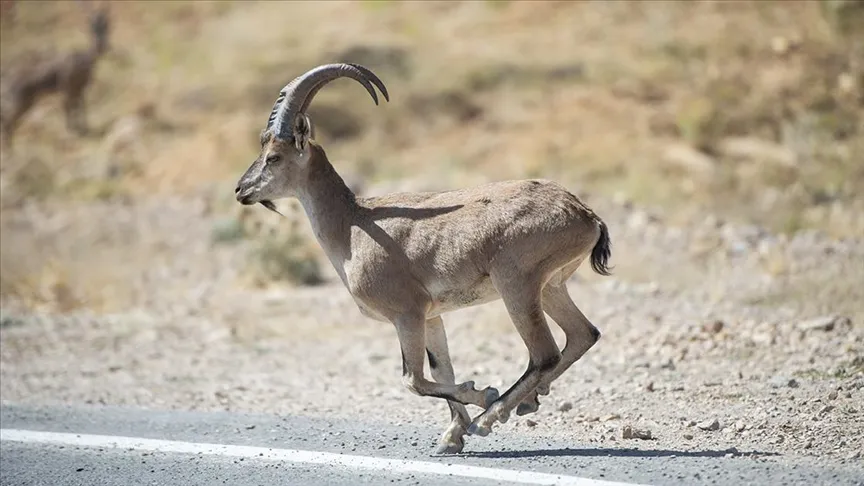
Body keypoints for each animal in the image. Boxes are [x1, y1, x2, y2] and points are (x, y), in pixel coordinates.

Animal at [0, 6, 111, 148]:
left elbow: (81, 108)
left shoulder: (80, 89)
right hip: (21, 103)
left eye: (106, 25)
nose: (102, 45)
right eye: (92, 26)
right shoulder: (68, 89)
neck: (83, 60)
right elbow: (69, 110)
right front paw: (74, 132)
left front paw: (84, 129)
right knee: (7, 124)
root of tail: (7, 77)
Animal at [236, 62, 612, 454]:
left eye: (274, 157)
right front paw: (451, 437)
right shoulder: (431, 317)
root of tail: (584, 214)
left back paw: (490, 417)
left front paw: (480, 396)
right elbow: (439, 369)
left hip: (517, 285)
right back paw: (522, 403)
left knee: (545, 353)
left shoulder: (408, 314)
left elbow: (412, 380)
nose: (241, 190)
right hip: (551, 286)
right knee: (582, 335)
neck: (354, 226)